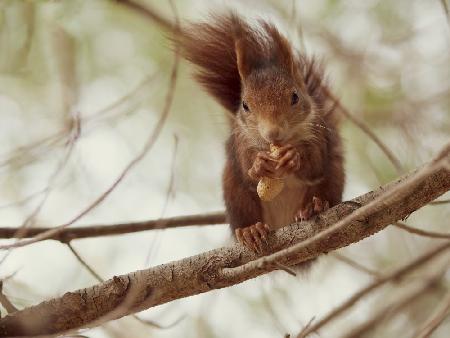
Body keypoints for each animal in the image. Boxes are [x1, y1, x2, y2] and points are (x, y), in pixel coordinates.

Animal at [178, 11, 342, 252]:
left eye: (295, 97)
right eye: (245, 105)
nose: (272, 133)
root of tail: (282, 223)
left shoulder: (317, 133)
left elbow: (316, 163)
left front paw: (294, 156)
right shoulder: (241, 141)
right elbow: (246, 167)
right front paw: (258, 164)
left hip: (332, 179)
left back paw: (313, 208)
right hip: (236, 195)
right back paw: (251, 230)